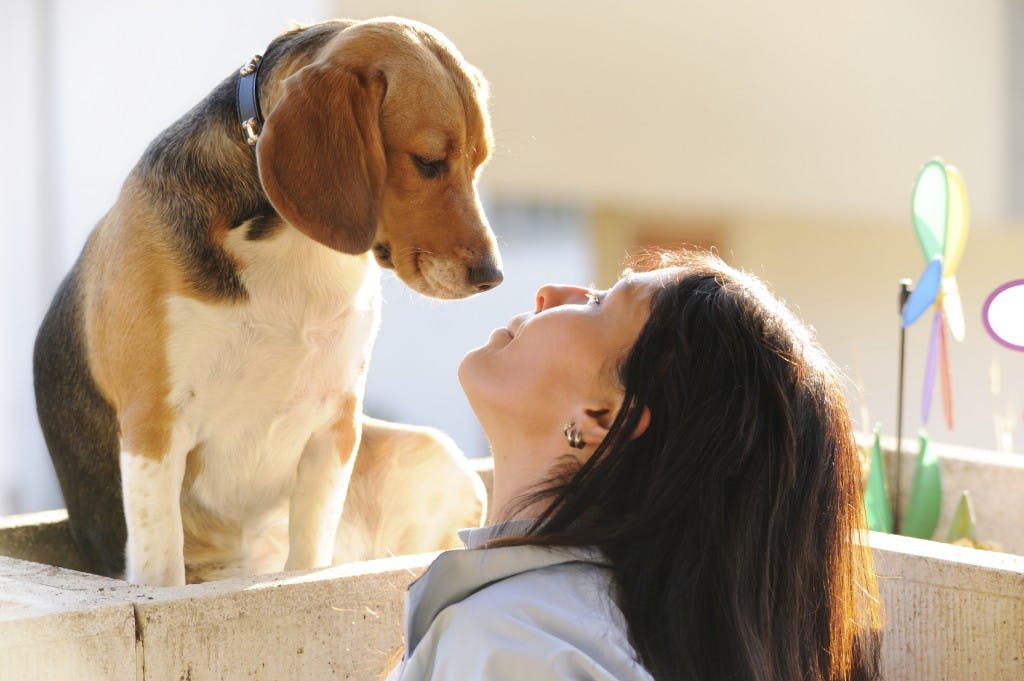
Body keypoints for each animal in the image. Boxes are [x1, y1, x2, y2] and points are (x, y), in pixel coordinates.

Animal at [32, 18, 495, 585]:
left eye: (479, 162)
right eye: (428, 162)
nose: (492, 276)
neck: (292, 242)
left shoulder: (335, 424)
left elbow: (309, 557)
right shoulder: (152, 429)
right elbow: (162, 564)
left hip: (437, 455)